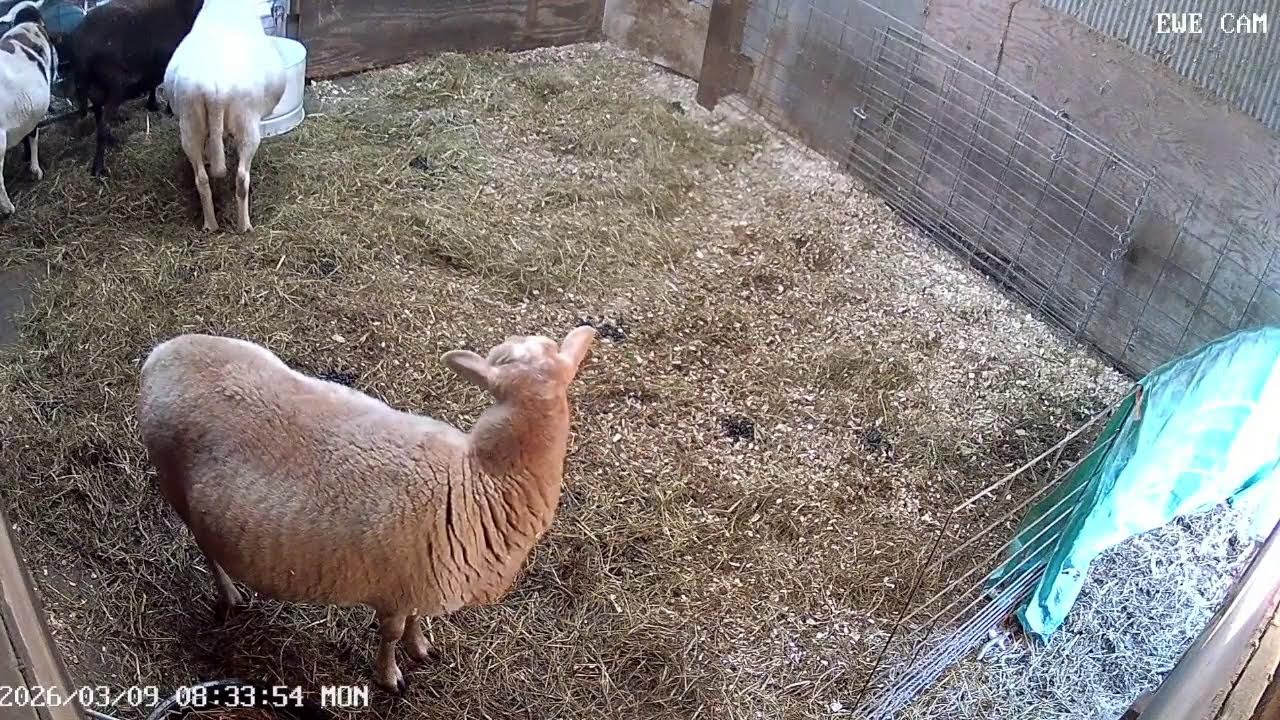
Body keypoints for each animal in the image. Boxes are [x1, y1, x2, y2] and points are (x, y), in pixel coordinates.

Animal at [65, 0, 202, 177]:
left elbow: (154, 82)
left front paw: (153, 104)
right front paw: (167, 109)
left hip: (95, 90)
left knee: (99, 118)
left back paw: (110, 141)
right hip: (116, 85)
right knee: (103, 124)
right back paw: (99, 167)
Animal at [137, 327, 598, 693]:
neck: (477, 476)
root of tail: (162, 353)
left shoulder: (422, 583)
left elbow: (415, 623)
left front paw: (421, 647)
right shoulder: (396, 589)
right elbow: (390, 635)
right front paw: (390, 676)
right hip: (173, 481)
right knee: (207, 550)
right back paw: (230, 593)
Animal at [162, 0, 284, 233]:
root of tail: (214, 90)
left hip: (190, 123)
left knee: (201, 179)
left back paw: (210, 224)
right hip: (247, 124)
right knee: (242, 178)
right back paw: (244, 226)